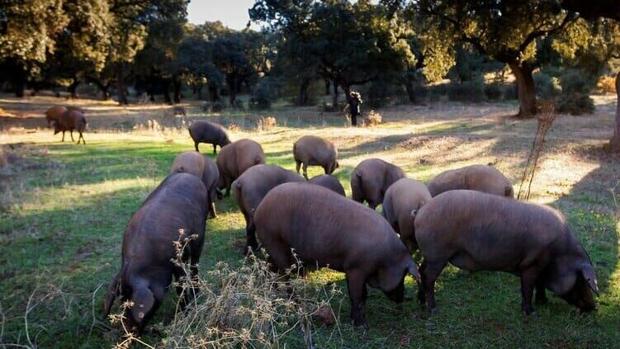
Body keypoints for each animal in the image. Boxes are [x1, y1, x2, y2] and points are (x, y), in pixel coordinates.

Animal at [102, 173, 208, 334]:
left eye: (132, 305)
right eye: (121, 302)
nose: (128, 333)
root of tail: (190, 175)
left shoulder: (177, 259)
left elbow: (180, 285)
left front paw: (184, 313)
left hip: (201, 231)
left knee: (195, 263)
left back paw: (197, 292)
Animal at [253, 182, 422, 326]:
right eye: (403, 275)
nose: (402, 298)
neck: (385, 259)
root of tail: (260, 207)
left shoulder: (353, 269)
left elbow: (363, 294)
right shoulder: (356, 268)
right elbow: (357, 295)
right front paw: (361, 325)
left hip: (272, 250)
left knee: (270, 271)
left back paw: (272, 295)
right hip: (275, 242)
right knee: (285, 277)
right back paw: (296, 304)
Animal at [414, 189, 600, 314]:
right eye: (583, 280)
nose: (593, 307)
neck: (559, 254)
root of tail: (421, 211)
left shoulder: (540, 266)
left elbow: (539, 285)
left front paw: (544, 302)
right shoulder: (531, 264)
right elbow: (528, 287)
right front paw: (531, 312)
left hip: (430, 255)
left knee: (421, 271)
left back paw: (421, 302)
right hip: (437, 254)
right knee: (429, 277)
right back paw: (433, 309)